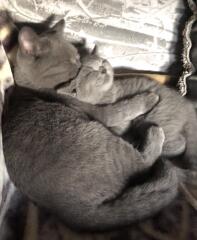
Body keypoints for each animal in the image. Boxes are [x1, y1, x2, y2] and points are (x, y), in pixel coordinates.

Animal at [58, 54, 197, 171]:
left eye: (102, 61)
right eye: (92, 72)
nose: (103, 67)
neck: (106, 93)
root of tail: (188, 107)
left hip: (157, 118)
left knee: (180, 144)